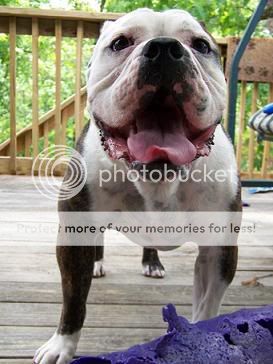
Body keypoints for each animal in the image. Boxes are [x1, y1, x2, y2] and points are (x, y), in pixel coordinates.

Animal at [34, 7, 240, 364]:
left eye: (201, 46)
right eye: (120, 43)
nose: (164, 48)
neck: (159, 179)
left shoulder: (219, 250)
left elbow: (207, 305)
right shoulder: (74, 235)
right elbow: (73, 301)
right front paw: (61, 345)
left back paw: (152, 263)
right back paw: (99, 263)